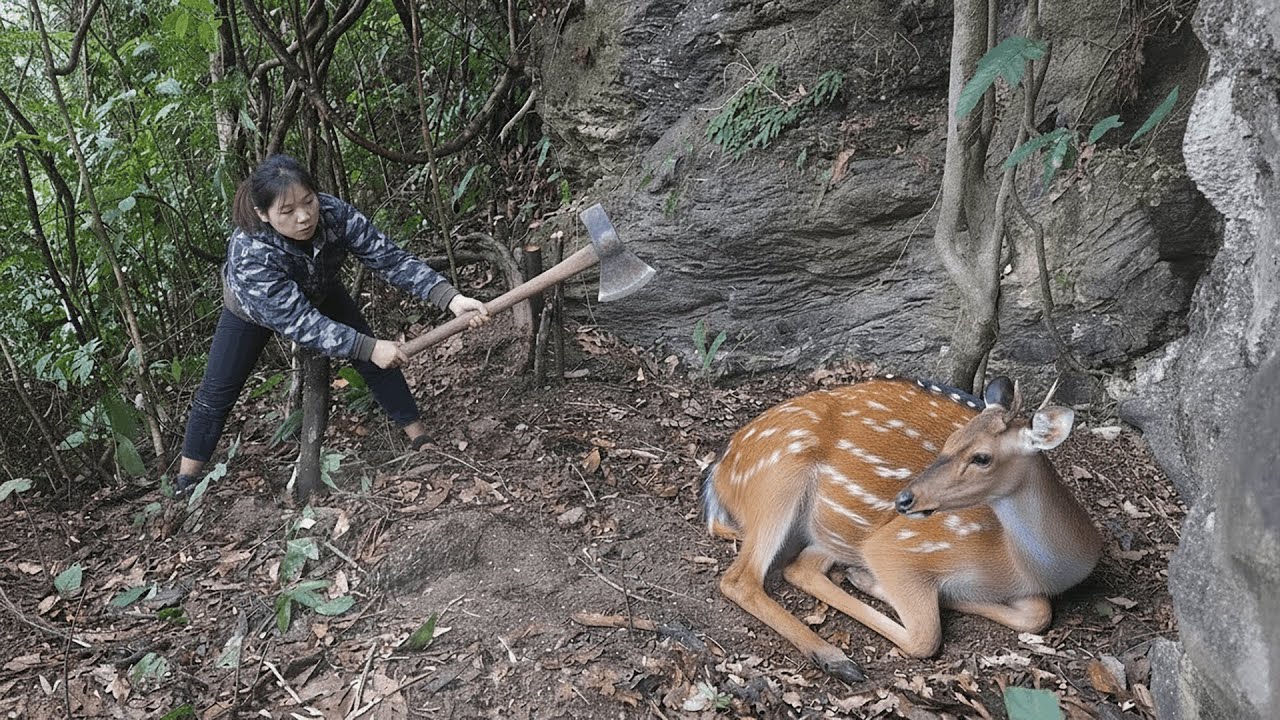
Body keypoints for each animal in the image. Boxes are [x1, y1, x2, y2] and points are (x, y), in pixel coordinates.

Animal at [702, 375, 1103, 682]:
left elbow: (1038, 613)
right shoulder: (898, 544)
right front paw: (876, 583)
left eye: (982, 457)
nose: (905, 499)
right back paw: (837, 658)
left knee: (800, 566)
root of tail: (719, 473)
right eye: (949, 441)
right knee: (741, 579)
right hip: (779, 476)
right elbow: (926, 638)